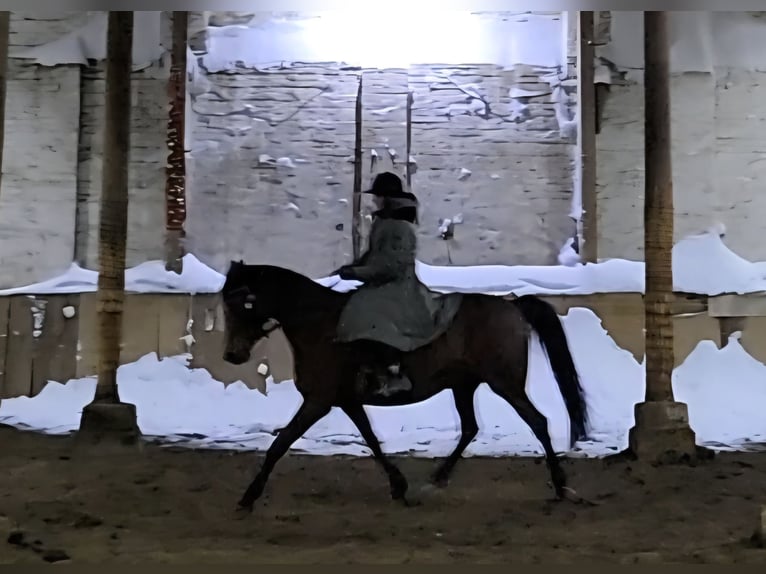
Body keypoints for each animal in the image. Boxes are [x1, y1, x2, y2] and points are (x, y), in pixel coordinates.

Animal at [221, 261, 589, 515]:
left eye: (243, 303)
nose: (231, 355)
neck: (318, 324)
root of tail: (511, 305)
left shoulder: (319, 401)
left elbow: (279, 445)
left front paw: (248, 497)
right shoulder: (346, 401)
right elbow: (371, 440)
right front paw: (399, 486)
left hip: (505, 383)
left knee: (537, 422)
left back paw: (561, 486)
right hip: (464, 386)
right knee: (470, 427)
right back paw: (437, 479)